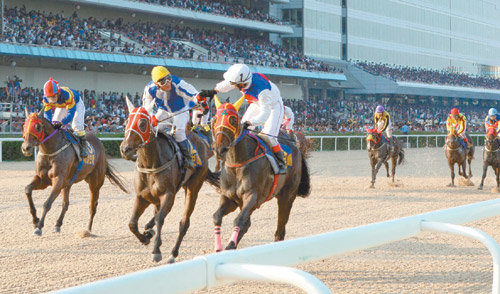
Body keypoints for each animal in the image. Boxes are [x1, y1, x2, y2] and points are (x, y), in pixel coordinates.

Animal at [120, 97, 220, 262]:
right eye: (126, 121)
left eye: (142, 123)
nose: (125, 149)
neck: (151, 164)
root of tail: (201, 140)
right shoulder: (142, 196)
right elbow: (132, 223)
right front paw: (145, 238)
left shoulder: (168, 194)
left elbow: (160, 218)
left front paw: (156, 250)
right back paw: (149, 229)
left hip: (193, 187)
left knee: (184, 222)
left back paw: (173, 253)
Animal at [209, 95, 310, 252]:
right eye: (214, 119)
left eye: (233, 120)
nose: (220, 149)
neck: (238, 162)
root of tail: (296, 147)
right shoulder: (230, 198)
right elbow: (217, 216)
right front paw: (220, 247)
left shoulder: (252, 196)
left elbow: (239, 220)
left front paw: (230, 245)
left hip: (287, 196)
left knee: (280, 228)